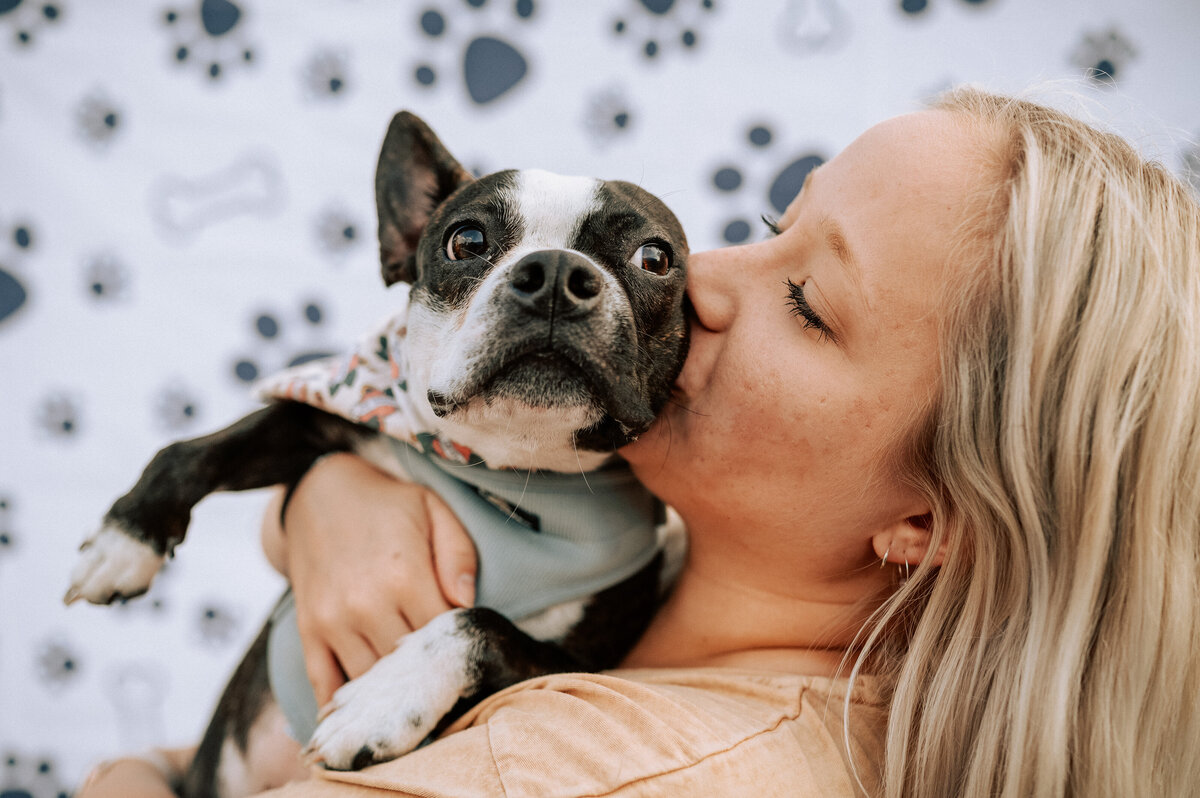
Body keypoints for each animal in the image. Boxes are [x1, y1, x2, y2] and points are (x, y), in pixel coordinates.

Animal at [60, 112, 691, 796]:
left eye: (654, 257)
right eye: (467, 241)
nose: (553, 273)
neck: (506, 471)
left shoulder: (582, 666)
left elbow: (481, 622)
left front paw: (382, 702)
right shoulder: (321, 428)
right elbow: (189, 453)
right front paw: (123, 544)